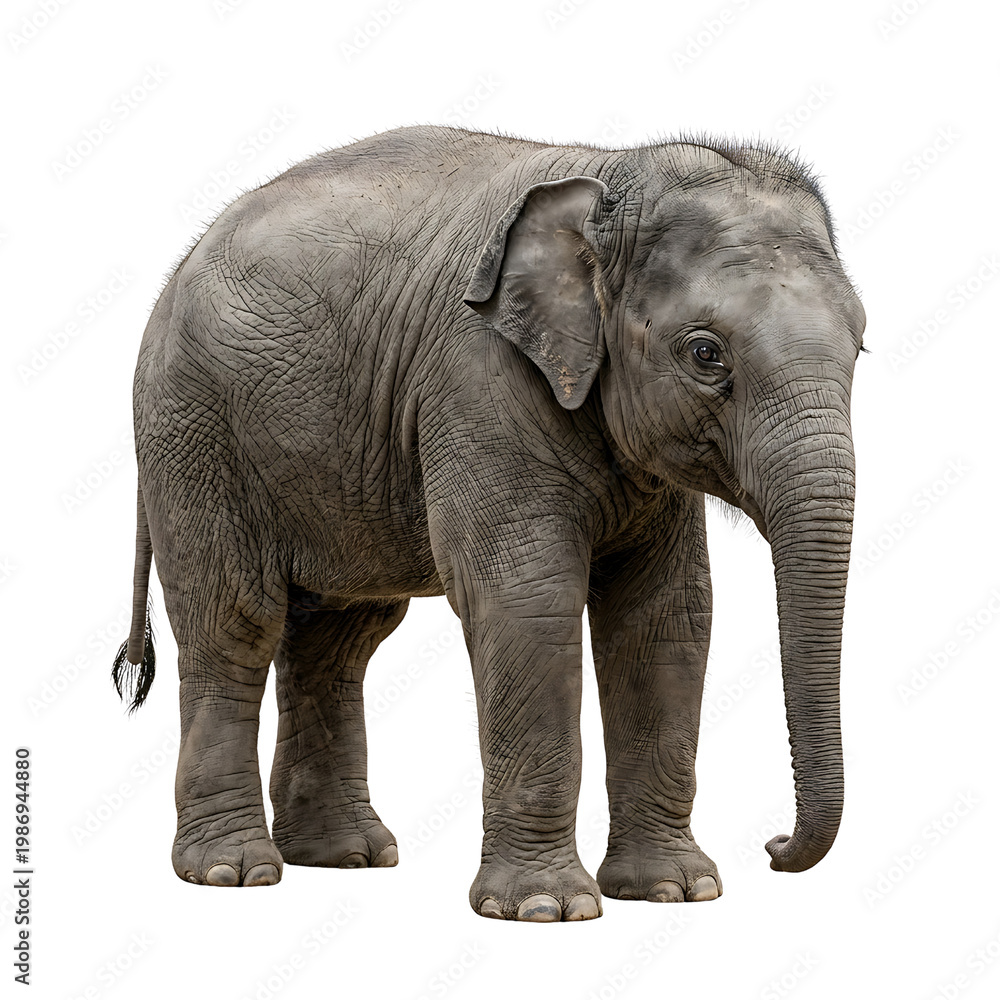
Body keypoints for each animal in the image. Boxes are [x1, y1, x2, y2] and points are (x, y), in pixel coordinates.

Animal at [112, 124, 865, 922]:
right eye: (705, 353)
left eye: (860, 345)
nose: (774, 846)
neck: (613, 173)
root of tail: (177, 269)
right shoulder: (479, 383)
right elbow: (528, 602)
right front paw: (546, 910)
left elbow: (665, 618)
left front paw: (674, 892)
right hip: (193, 432)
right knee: (234, 621)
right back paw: (233, 872)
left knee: (339, 638)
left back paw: (346, 857)